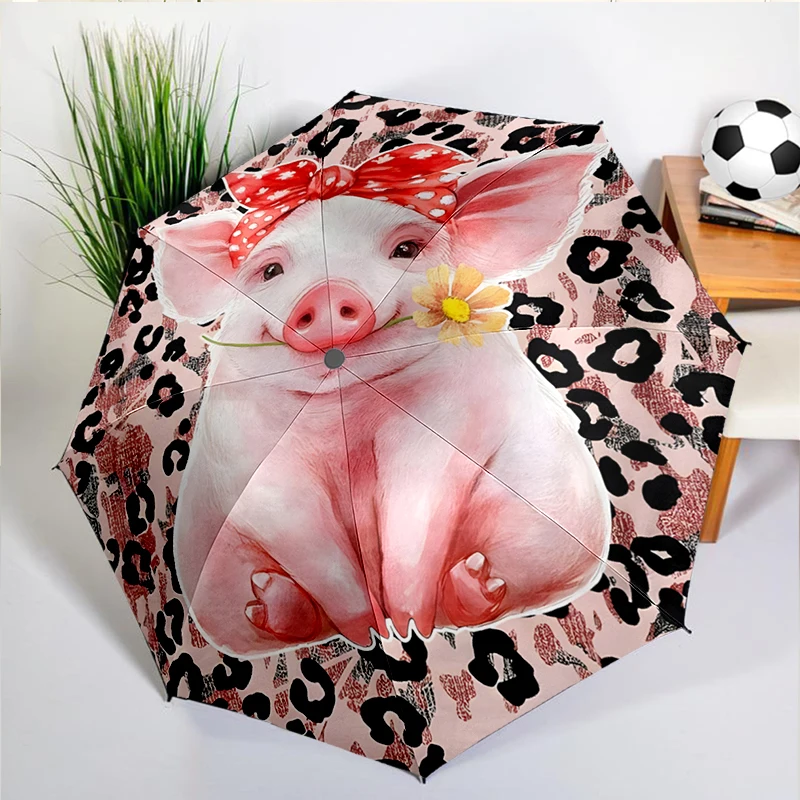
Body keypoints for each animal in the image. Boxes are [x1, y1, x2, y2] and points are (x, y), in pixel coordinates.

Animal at [149, 144, 612, 658]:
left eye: (406, 250)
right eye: (270, 271)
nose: (327, 292)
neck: (351, 410)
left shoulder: (447, 428)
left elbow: (416, 513)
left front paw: (409, 627)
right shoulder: (250, 465)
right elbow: (306, 537)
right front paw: (367, 634)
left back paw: (473, 582)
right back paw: (269, 598)